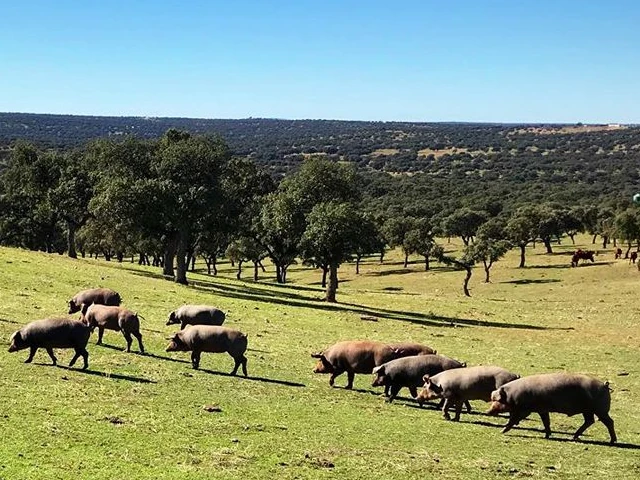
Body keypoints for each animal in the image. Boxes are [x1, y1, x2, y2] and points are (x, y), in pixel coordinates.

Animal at [487, 373, 617, 443]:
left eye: (497, 400)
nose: (488, 411)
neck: (513, 396)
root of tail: (605, 385)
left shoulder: (525, 409)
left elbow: (513, 419)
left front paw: (502, 431)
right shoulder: (542, 410)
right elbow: (546, 422)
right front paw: (547, 435)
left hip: (600, 409)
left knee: (609, 422)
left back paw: (612, 441)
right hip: (588, 410)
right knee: (589, 421)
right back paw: (573, 437)